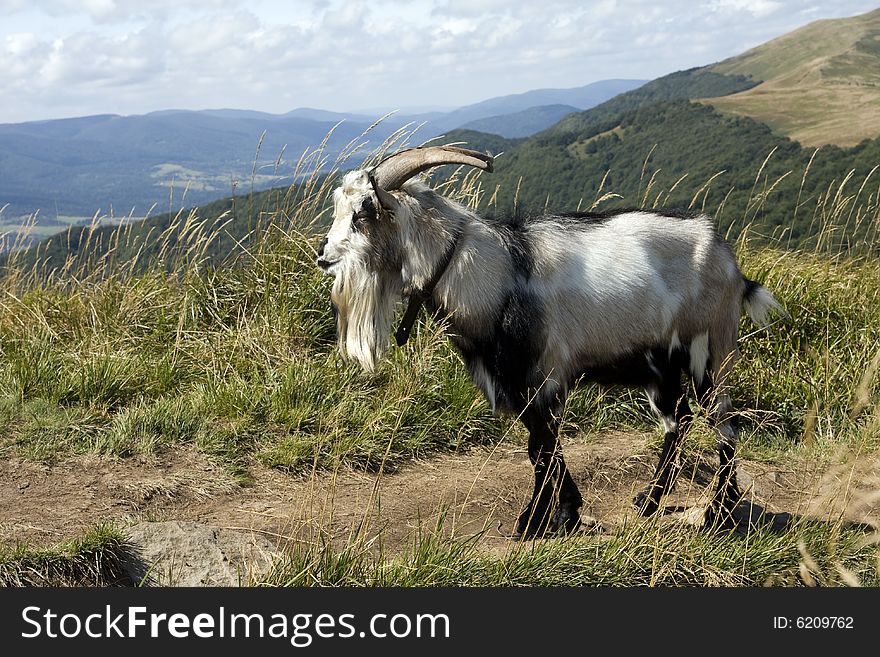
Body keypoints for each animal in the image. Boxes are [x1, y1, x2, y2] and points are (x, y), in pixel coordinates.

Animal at [318, 146, 784, 536]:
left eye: (363, 213)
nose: (324, 257)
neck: (493, 273)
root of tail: (730, 262)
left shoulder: (540, 377)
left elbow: (541, 449)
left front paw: (535, 520)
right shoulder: (518, 382)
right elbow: (542, 447)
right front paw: (565, 512)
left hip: (710, 350)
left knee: (724, 423)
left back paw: (720, 511)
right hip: (660, 366)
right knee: (679, 421)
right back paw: (651, 502)